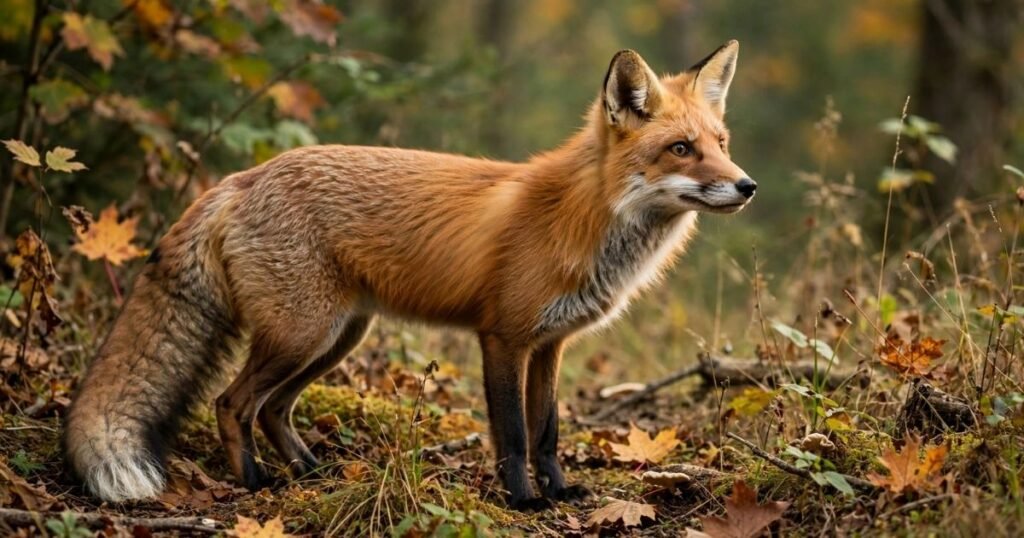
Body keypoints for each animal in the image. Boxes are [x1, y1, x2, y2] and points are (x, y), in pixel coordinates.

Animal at [64, 41, 754, 510]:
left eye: (721, 143)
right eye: (681, 150)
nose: (747, 186)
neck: (584, 218)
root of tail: (240, 178)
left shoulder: (551, 344)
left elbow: (548, 431)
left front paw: (559, 492)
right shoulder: (502, 337)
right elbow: (512, 433)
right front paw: (522, 499)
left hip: (337, 339)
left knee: (272, 408)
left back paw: (310, 471)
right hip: (301, 335)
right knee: (232, 403)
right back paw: (255, 483)